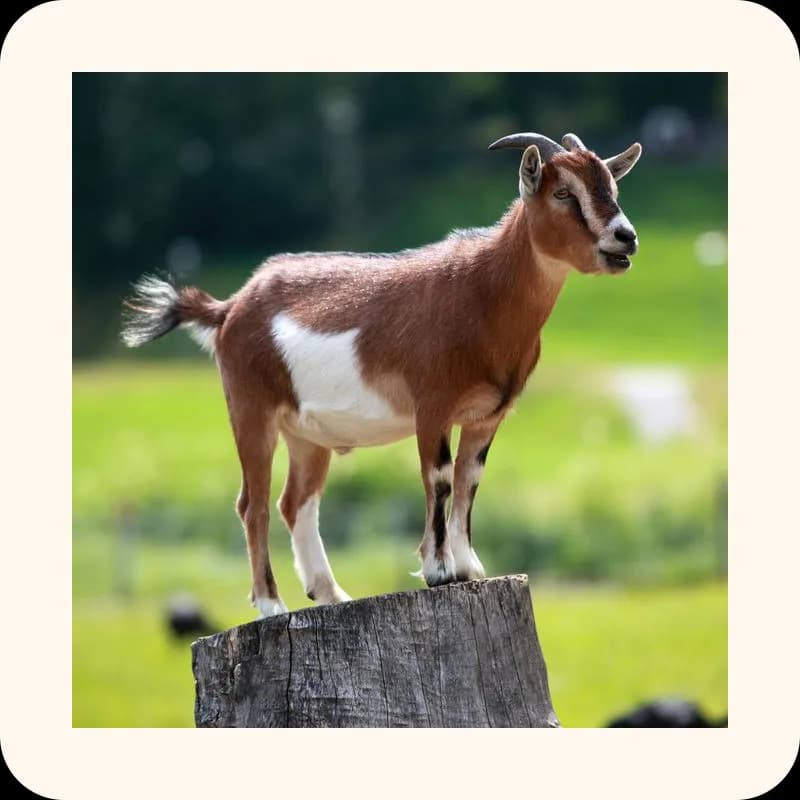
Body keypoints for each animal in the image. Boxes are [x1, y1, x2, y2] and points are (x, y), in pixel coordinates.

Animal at [121, 131, 642, 618]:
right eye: (563, 193)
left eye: (612, 186)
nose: (626, 237)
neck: (482, 293)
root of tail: (229, 308)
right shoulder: (432, 406)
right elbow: (439, 477)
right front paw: (438, 571)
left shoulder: (487, 415)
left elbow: (470, 479)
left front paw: (469, 567)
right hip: (251, 408)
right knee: (254, 503)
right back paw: (271, 604)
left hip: (305, 433)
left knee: (295, 501)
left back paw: (330, 593)